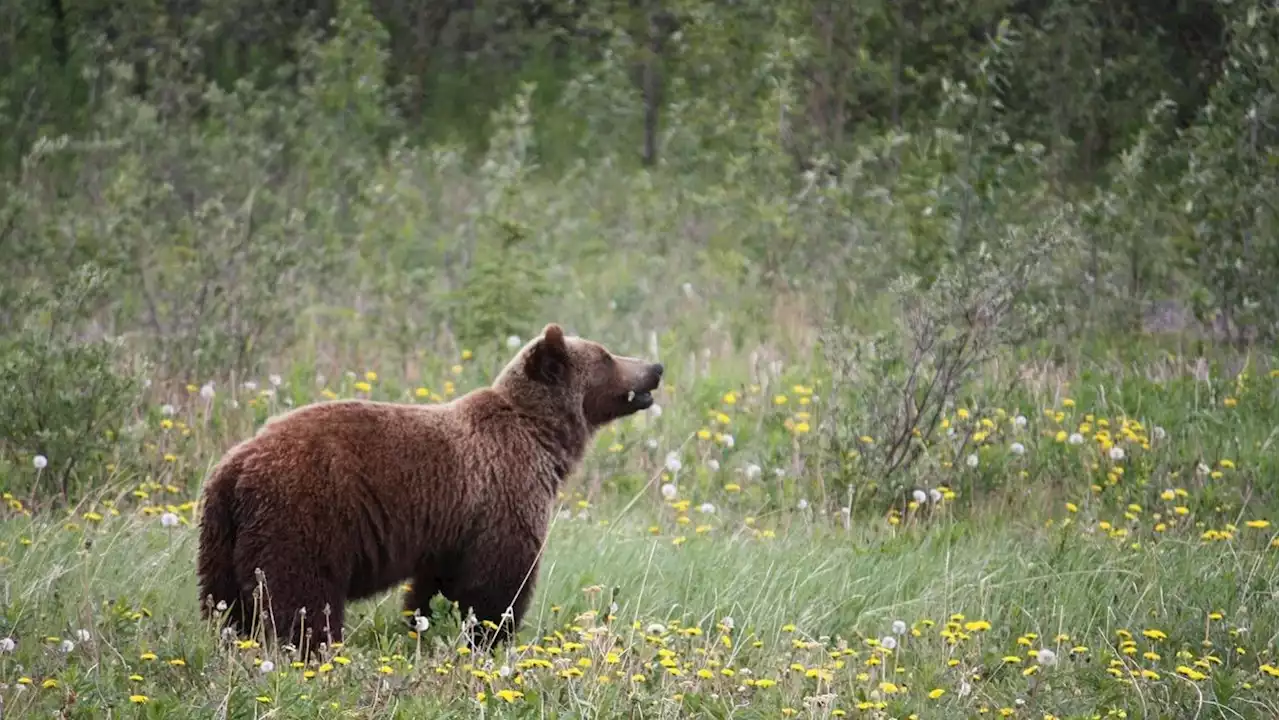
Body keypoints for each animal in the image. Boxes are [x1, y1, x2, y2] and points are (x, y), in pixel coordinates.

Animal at [194, 322, 665, 653]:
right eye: (606, 356)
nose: (655, 368)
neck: (542, 438)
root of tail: (237, 467)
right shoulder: (504, 492)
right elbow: (495, 583)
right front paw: (488, 637)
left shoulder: (453, 526)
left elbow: (436, 588)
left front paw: (426, 628)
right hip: (304, 515)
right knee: (301, 598)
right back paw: (312, 651)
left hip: (221, 537)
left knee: (225, 605)